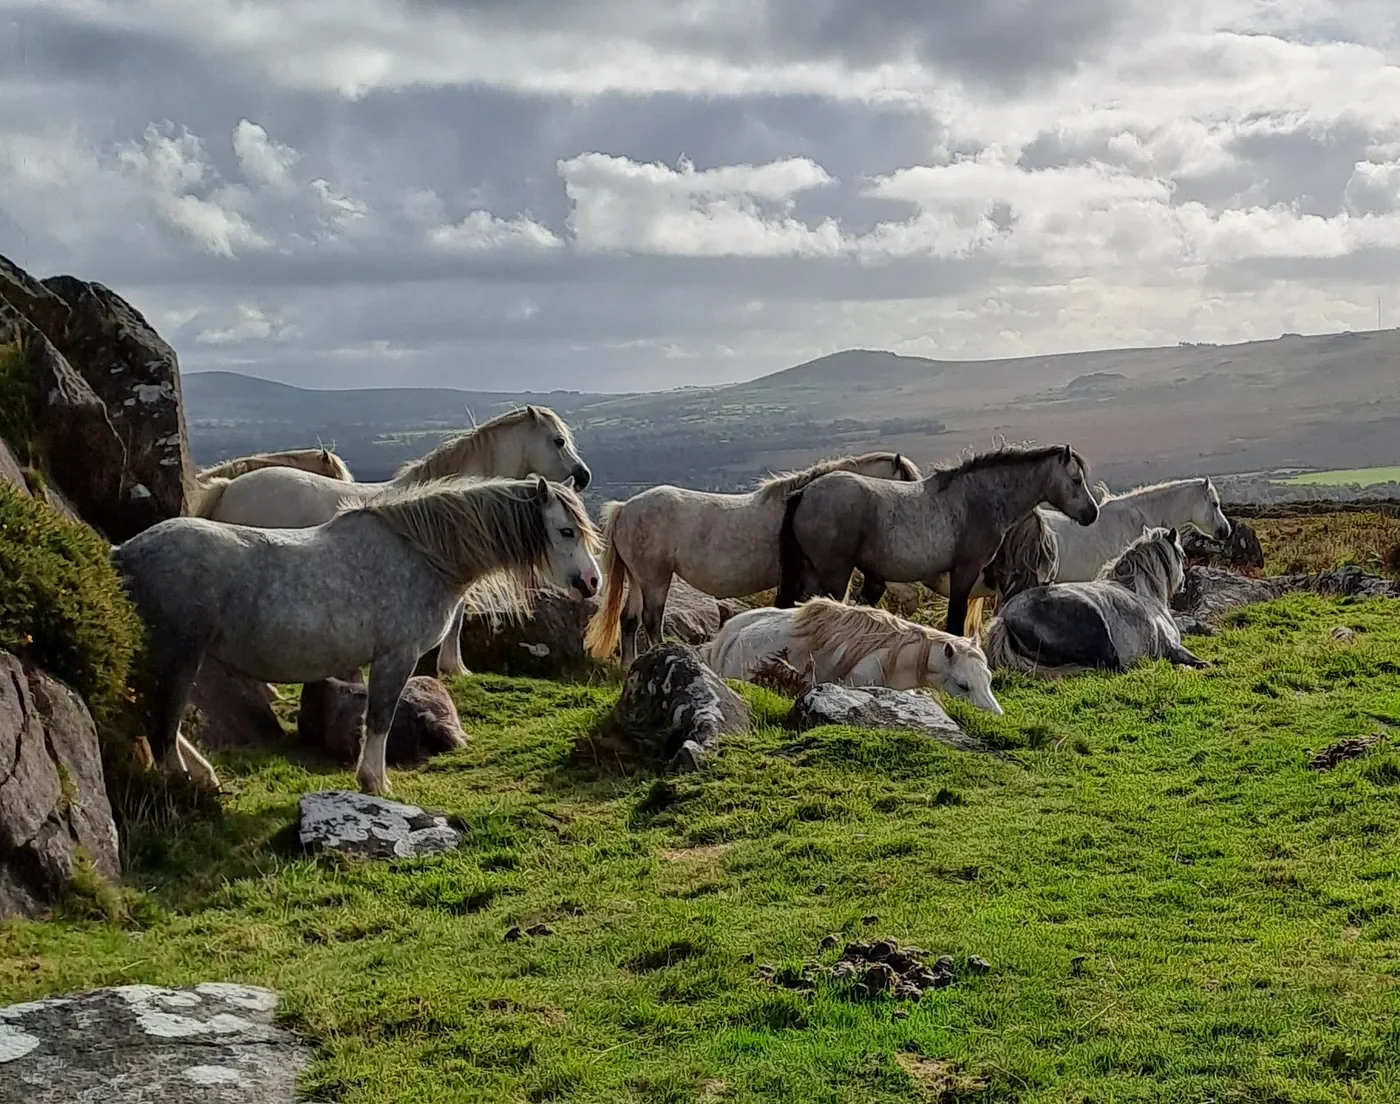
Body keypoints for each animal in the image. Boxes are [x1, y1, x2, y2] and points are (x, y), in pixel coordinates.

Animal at [113, 476, 601, 797]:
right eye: (565, 531)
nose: (591, 582)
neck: (419, 554)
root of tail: (124, 552)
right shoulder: (396, 658)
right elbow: (379, 719)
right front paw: (374, 783)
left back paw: (203, 775)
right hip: (178, 655)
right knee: (162, 724)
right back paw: (187, 784)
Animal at [583, 452, 921, 666]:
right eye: (907, 481)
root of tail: (625, 508)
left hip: (638, 578)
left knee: (629, 620)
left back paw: (629, 666)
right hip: (655, 578)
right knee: (652, 620)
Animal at [776, 444, 1100, 638]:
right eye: (1075, 480)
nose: (1091, 513)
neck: (978, 498)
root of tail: (804, 493)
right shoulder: (965, 572)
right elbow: (956, 620)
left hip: (810, 571)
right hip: (834, 574)